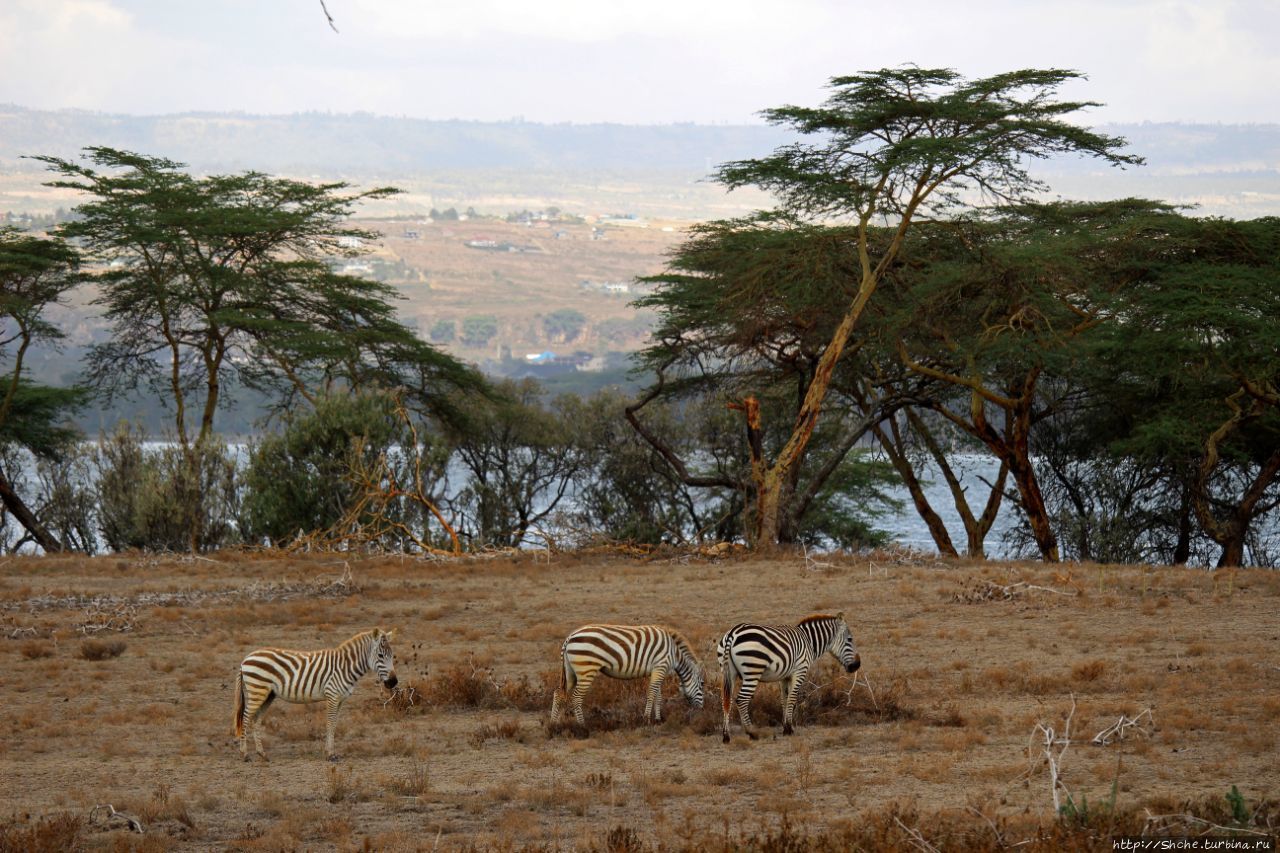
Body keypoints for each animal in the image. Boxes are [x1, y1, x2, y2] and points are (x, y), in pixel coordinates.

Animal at [232, 625, 396, 758]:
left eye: (392, 655)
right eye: (381, 655)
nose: (394, 682)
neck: (345, 667)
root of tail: (246, 658)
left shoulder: (341, 699)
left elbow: (334, 724)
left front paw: (330, 751)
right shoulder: (332, 696)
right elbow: (330, 723)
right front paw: (330, 754)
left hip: (267, 695)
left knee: (256, 719)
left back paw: (262, 753)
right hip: (256, 690)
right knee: (245, 718)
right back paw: (244, 754)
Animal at [550, 622, 706, 727]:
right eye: (702, 684)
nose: (701, 710)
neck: (674, 652)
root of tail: (569, 637)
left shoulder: (658, 669)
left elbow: (658, 696)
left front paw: (657, 719)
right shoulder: (660, 667)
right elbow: (651, 693)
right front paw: (646, 719)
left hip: (571, 672)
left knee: (559, 693)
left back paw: (554, 725)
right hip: (586, 670)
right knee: (576, 697)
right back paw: (582, 726)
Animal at [721, 607, 860, 742]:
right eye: (850, 639)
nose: (856, 666)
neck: (809, 641)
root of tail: (732, 633)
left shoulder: (784, 676)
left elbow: (784, 700)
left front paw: (785, 727)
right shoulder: (800, 671)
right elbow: (792, 699)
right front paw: (789, 729)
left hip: (728, 672)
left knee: (726, 700)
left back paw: (726, 736)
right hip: (753, 671)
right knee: (741, 700)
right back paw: (752, 733)